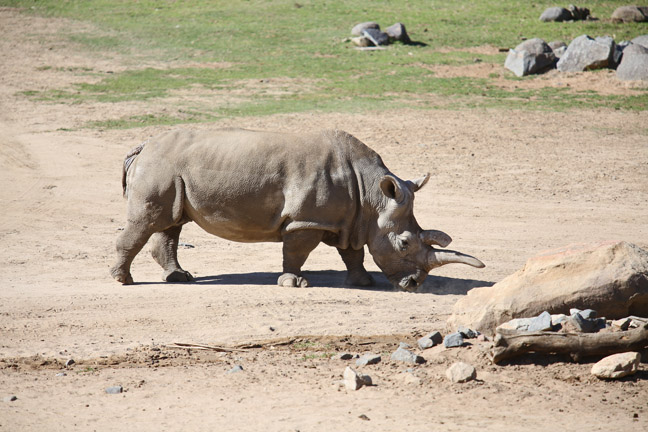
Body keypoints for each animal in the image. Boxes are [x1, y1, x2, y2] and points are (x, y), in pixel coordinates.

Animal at [110, 128, 484, 291]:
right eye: (404, 243)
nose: (413, 283)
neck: (372, 194)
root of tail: (144, 145)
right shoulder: (306, 219)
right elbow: (297, 251)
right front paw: (294, 283)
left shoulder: (348, 219)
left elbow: (354, 252)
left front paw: (363, 282)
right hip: (160, 167)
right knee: (148, 221)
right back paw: (124, 281)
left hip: (172, 170)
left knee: (171, 222)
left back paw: (179, 278)